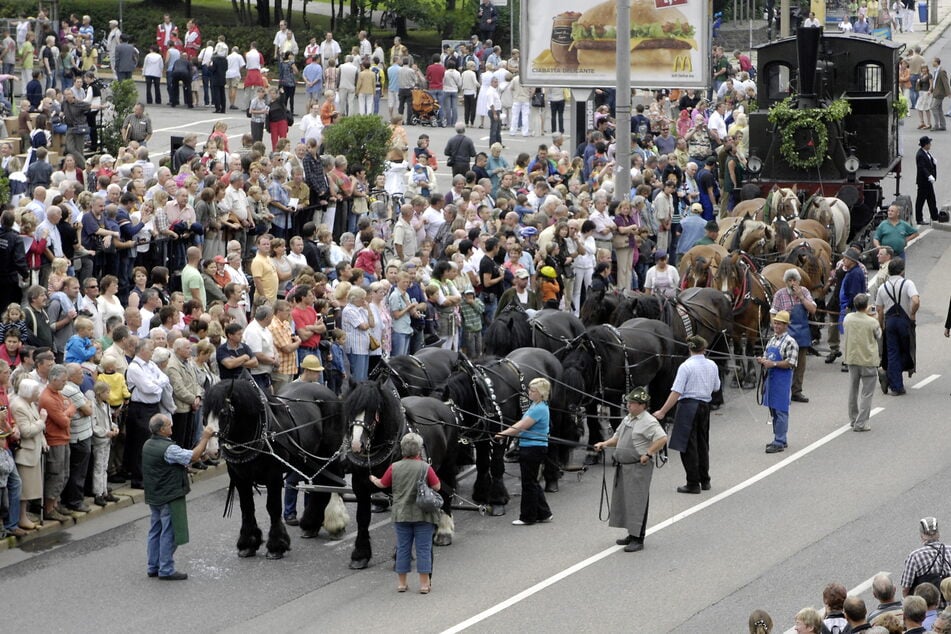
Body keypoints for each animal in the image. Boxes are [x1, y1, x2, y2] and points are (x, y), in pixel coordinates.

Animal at [205, 378, 350, 556]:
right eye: (205, 415)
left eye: (224, 413)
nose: (211, 450)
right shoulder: (240, 477)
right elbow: (247, 507)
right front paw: (247, 543)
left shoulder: (273, 475)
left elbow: (273, 507)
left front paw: (276, 545)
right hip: (308, 458)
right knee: (320, 486)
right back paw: (311, 524)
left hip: (328, 453)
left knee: (333, 483)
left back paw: (336, 524)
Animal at [344, 376, 460, 568]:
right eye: (350, 408)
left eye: (375, 409)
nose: (356, 445)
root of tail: (441, 405)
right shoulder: (360, 486)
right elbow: (362, 518)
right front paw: (360, 555)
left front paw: (400, 554)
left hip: (447, 465)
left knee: (447, 492)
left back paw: (444, 531)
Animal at [712, 251, 772, 386]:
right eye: (717, 277)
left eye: (733, 277)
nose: (725, 299)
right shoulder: (735, 329)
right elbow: (738, 351)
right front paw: (738, 377)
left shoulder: (752, 326)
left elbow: (749, 350)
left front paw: (750, 377)